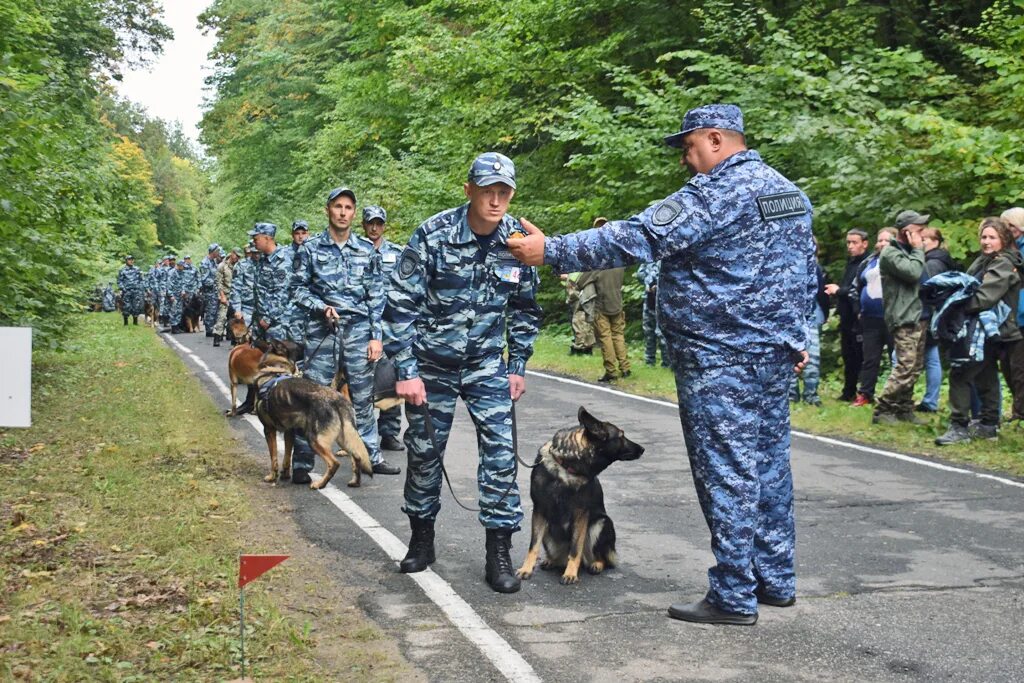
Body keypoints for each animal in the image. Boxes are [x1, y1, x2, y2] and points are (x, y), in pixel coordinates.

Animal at [252, 350, 376, 489]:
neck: (274, 372)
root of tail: (337, 400)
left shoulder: (268, 430)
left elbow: (273, 458)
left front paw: (272, 476)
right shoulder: (289, 432)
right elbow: (287, 457)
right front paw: (285, 474)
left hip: (315, 440)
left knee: (334, 463)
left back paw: (320, 484)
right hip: (344, 439)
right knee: (357, 457)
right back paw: (355, 482)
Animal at [516, 409, 643, 585]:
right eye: (621, 436)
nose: (642, 449)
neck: (566, 467)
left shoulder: (581, 515)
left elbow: (576, 548)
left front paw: (570, 574)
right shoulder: (539, 512)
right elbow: (533, 546)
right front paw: (526, 569)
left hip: (601, 523)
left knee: (600, 558)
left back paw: (595, 564)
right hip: (549, 530)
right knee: (559, 556)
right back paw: (551, 561)